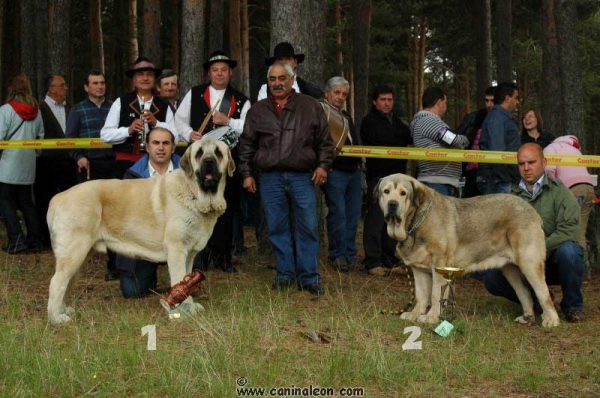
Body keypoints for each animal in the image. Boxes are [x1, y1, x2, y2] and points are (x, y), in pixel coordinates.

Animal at [47, 140, 233, 324]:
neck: (193, 193)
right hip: (74, 253)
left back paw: (64, 310)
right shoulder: (177, 250)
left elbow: (187, 280)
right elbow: (179, 279)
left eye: (218, 153)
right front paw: (182, 312)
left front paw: (190, 307)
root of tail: (57, 198)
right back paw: (56, 317)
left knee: (65, 282)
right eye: (199, 153)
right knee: (57, 281)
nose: (208, 162)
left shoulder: (189, 254)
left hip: (81, 255)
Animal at [378, 173, 560, 326]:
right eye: (386, 191)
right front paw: (415, 314)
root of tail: (532, 210)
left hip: (529, 262)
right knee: (524, 292)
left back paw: (551, 320)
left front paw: (431, 317)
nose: (392, 204)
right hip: (510, 269)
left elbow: (435, 294)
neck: (416, 220)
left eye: (403, 193)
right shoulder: (419, 269)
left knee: (543, 292)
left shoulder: (439, 264)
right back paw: (527, 317)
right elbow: (421, 294)